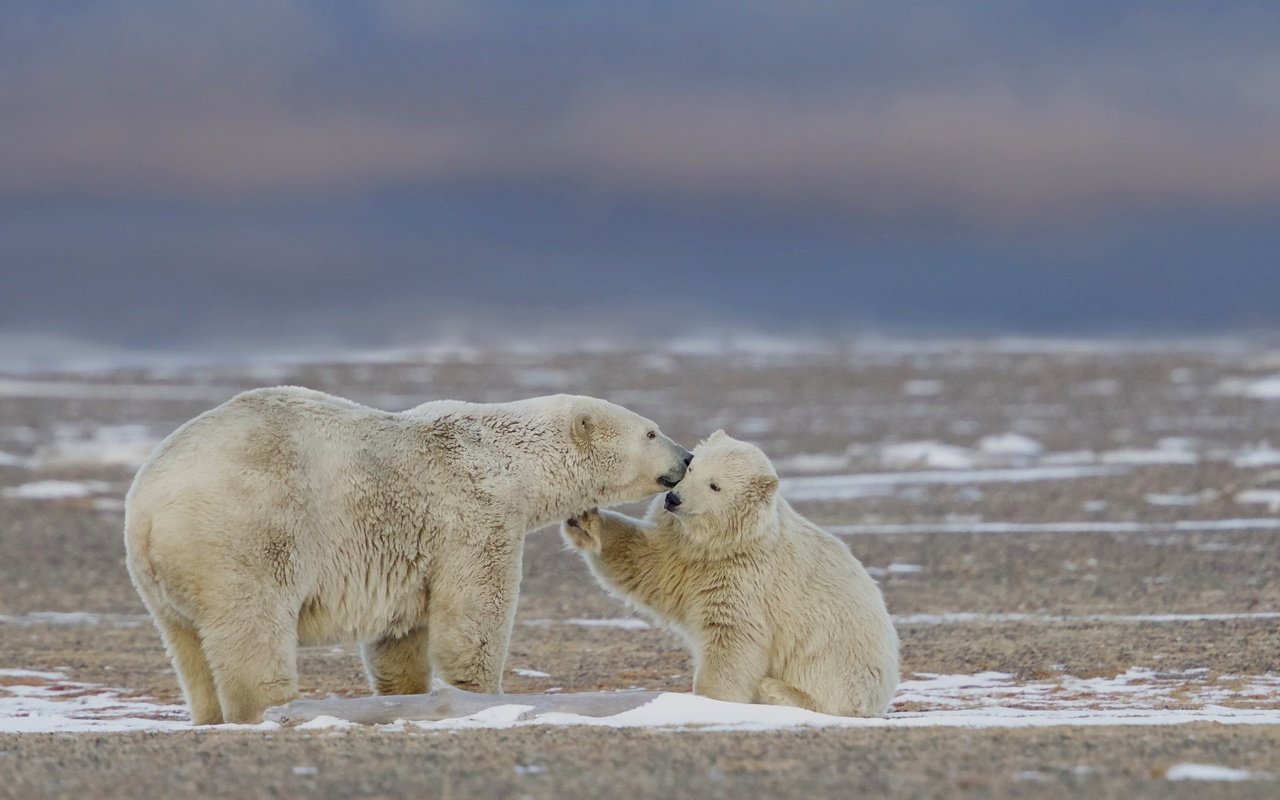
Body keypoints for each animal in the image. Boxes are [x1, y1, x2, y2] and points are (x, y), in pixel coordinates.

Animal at [124, 386, 691, 721]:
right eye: (651, 430)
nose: (686, 457)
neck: (507, 455)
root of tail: (149, 506)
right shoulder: (474, 511)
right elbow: (473, 614)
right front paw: (479, 694)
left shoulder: (407, 548)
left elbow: (400, 634)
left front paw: (408, 694)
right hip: (244, 534)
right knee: (253, 627)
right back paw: (274, 708)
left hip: (162, 577)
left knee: (188, 646)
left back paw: (210, 715)